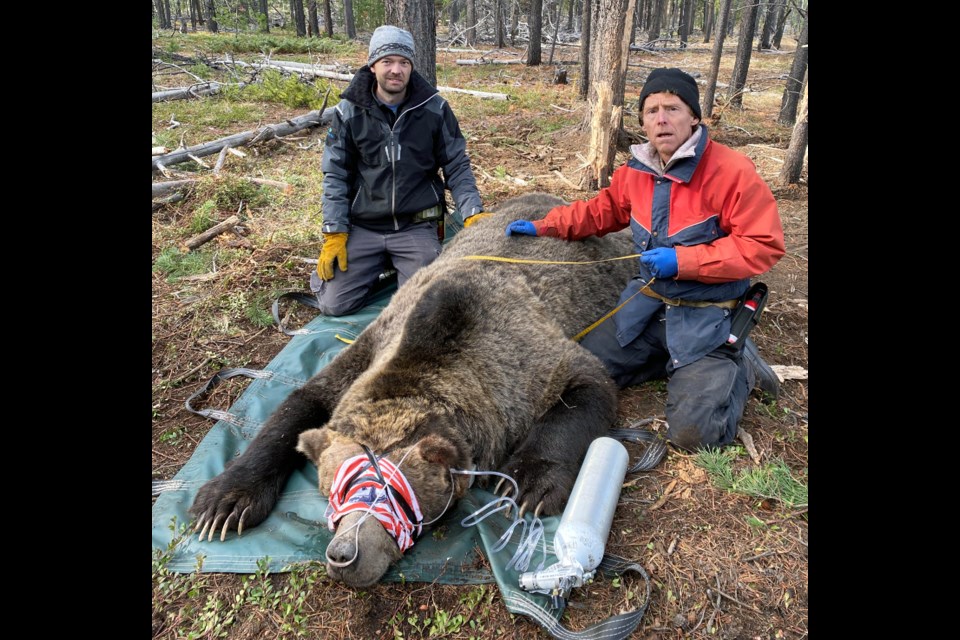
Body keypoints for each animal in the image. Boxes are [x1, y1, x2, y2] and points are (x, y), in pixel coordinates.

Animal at [188, 192, 636, 588]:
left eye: (397, 496)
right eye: (338, 489)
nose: (345, 554)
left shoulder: (523, 363)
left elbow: (586, 382)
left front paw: (527, 483)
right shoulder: (372, 347)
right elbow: (299, 405)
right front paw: (224, 503)